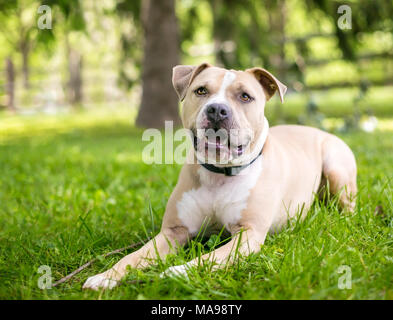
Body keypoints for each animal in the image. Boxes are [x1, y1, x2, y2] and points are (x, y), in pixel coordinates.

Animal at [82, 63, 356, 292]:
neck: (219, 174)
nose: (217, 109)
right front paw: (105, 276)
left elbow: (207, 258)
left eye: (245, 96)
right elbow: (132, 256)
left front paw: (177, 271)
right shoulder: (173, 232)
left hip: (336, 168)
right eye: (201, 91)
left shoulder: (247, 236)